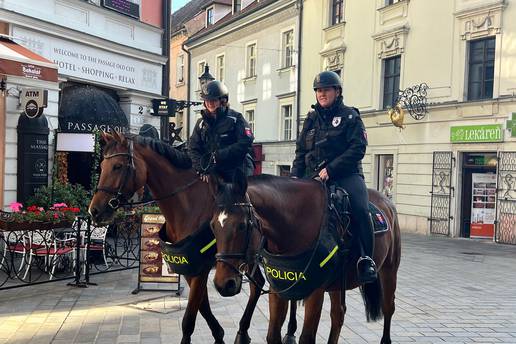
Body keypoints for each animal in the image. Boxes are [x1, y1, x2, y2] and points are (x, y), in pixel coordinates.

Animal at [87, 133, 298, 344]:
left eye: (117, 166)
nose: (94, 210)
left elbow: (189, 318)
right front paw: (219, 335)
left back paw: (287, 331)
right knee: (260, 284)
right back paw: (246, 332)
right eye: (101, 166)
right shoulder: (191, 268)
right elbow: (202, 305)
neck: (188, 204)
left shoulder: (202, 269)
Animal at [211, 173, 404, 344]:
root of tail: (387, 201)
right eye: (212, 226)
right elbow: (272, 336)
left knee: (388, 307)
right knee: (338, 314)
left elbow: (306, 338)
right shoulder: (279, 288)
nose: (223, 284)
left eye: (242, 225)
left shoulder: (315, 292)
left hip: (389, 269)